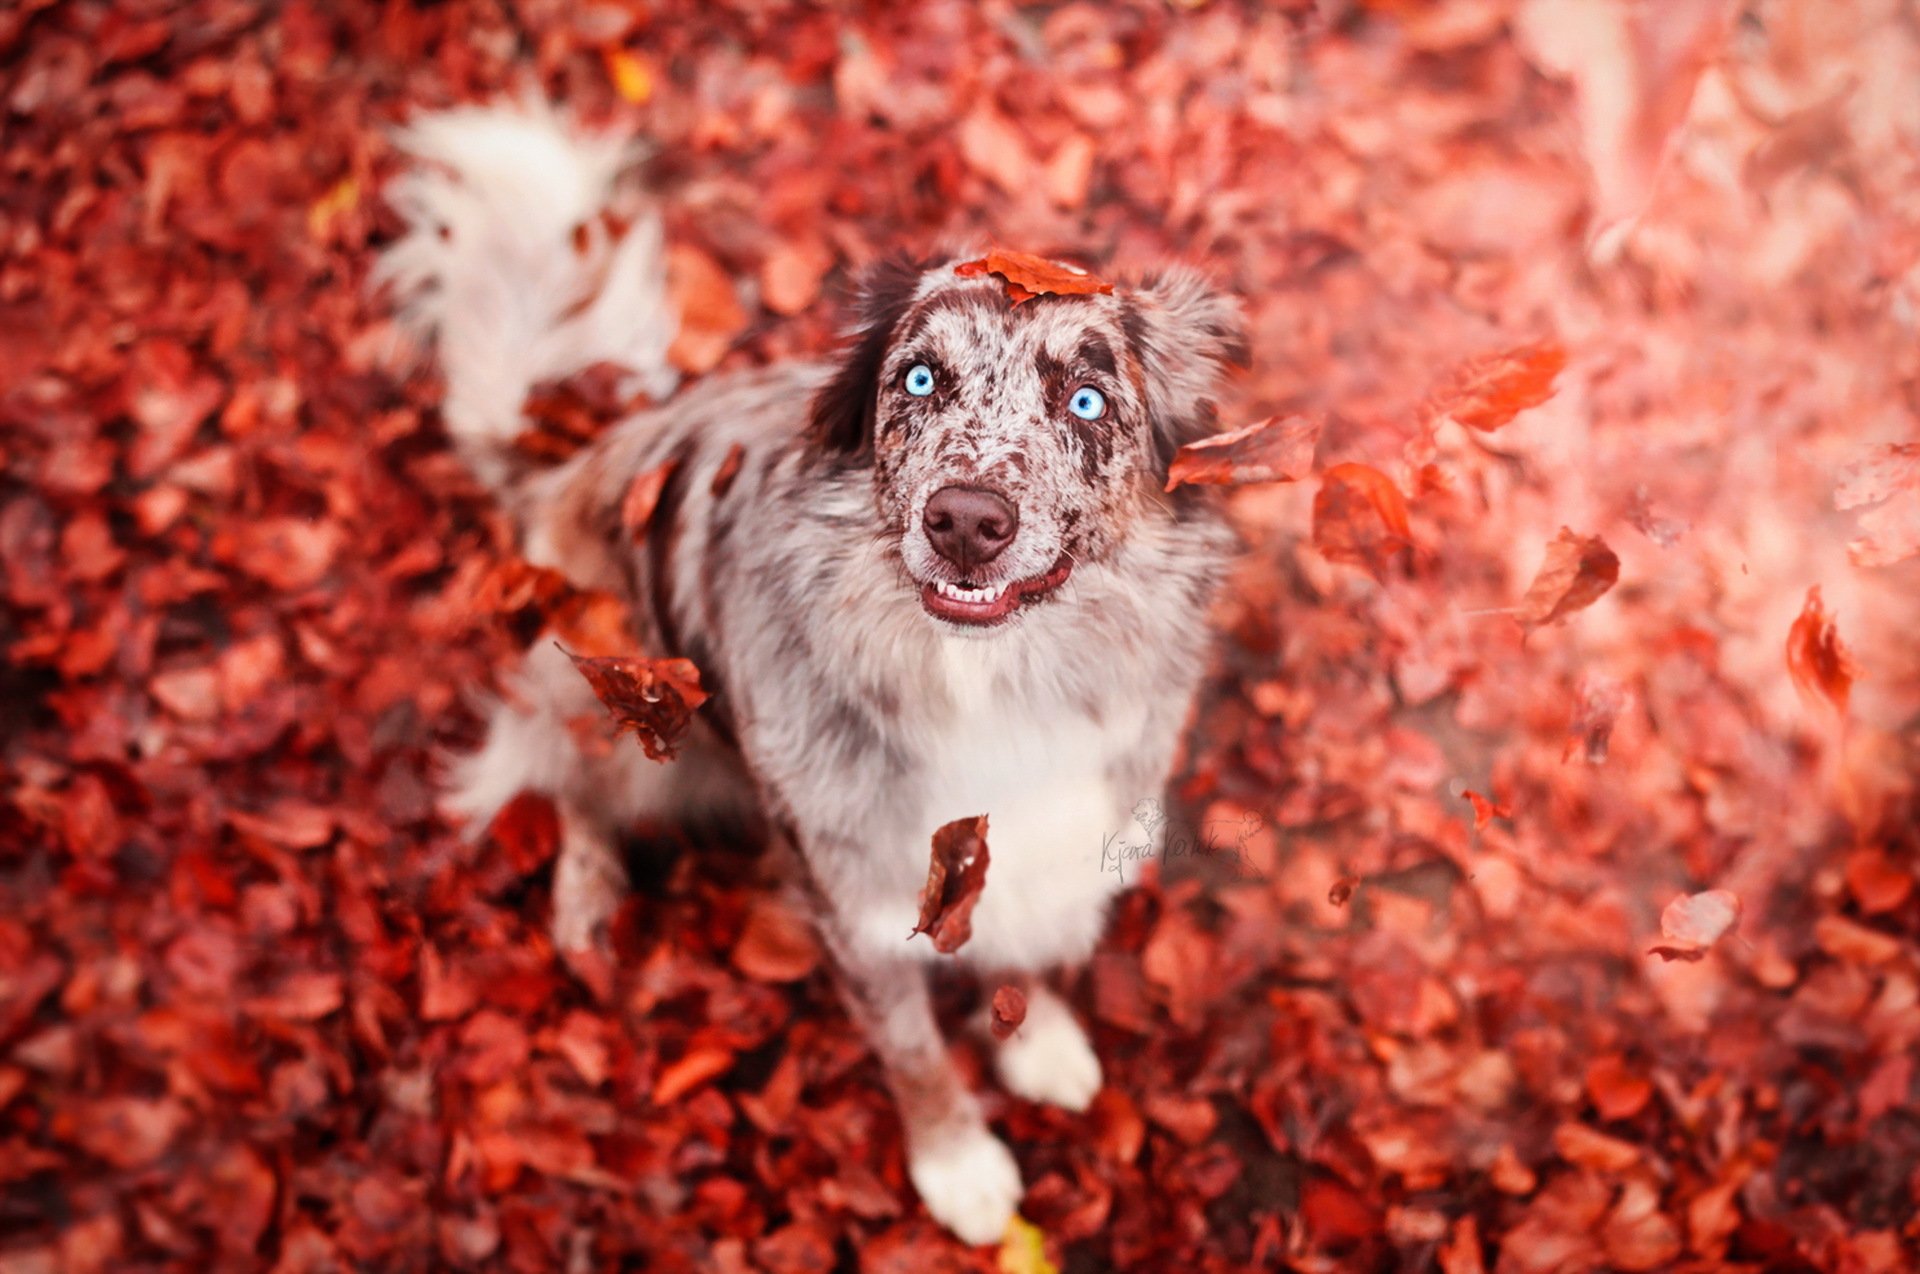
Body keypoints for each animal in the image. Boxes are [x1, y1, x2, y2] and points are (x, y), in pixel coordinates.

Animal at [376, 102, 1244, 1243]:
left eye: (1089, 400)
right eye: (918, 380)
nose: (966, 520)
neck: (995, 682)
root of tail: (577, 462)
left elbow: (1026, 951)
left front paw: (1038, 1037)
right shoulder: (856, 904)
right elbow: (912, 1048)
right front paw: (956, 1161)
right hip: (620, 693)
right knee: (567, 784)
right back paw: (587, 898)